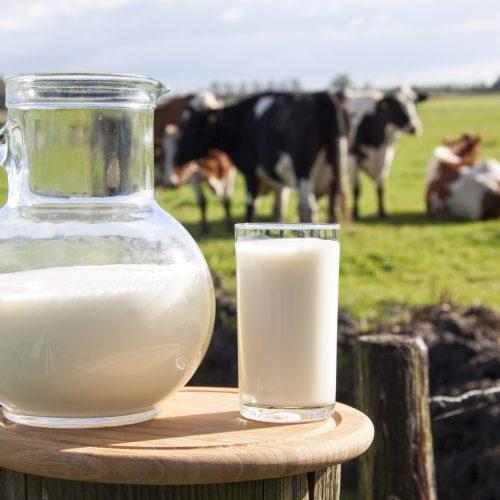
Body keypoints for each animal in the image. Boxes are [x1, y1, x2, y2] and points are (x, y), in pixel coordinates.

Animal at [154, 93, 236, 233]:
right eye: (164, 153)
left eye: (183, 149)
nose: (171, 182)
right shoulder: (194, 174)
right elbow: (202, 202)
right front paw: (204, 229)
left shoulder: (231, 171)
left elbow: (227, 200)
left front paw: (229, 226)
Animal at [166, 91, 350, 223]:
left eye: (193, 128)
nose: (177, 158)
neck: (240, 121)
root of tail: (321, 95)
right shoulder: (278, 181)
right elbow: (278, 212)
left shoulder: (251, 172)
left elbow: (251, 207)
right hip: (336, 169)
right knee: (331, 209)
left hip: (303, 170)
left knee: (308, 210)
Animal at [346, 84, 428, 219]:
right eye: (396, 105)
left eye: (415, 102)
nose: (414, 128)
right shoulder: (352, 158)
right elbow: (357, 189)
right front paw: (355, 213)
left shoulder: (386, 159)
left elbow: (381, 187)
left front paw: (382, 212)